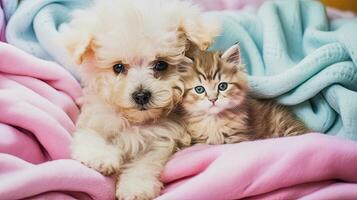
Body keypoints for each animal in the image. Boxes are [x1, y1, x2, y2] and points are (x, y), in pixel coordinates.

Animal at [59, 0, 218, 198]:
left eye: (161, 64)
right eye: (118, 67)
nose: (141, 95)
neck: (135, 121)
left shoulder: (161, 138)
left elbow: (145, 163)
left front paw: (135, 187)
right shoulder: (94, 119)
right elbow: (90, 136)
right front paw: (102, 157)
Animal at [179, 43, 308, 145]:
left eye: (222, 86)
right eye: (199, 89)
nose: (213, 99)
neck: (214, 121)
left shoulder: (238, 137)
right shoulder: (200, 140)